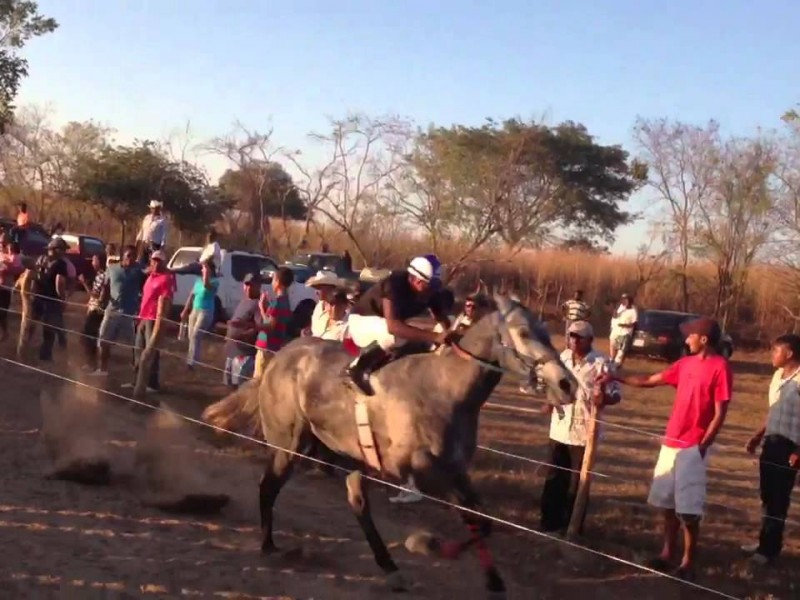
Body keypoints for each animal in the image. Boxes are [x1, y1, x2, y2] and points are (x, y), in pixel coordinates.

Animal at [203, 292, 580, 596]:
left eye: (546, 332)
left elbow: (481, 521)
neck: (446, 387)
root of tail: (279, 357)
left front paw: (493, 579)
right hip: (289, 443)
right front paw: (429, 544)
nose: (567, 384)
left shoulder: (456, 469)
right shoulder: (419, 468)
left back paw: (389, 567)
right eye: (524, 332)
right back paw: (268, 543)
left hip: (352, 455)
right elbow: (473, 519)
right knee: (269, 485)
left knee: (357, 503)